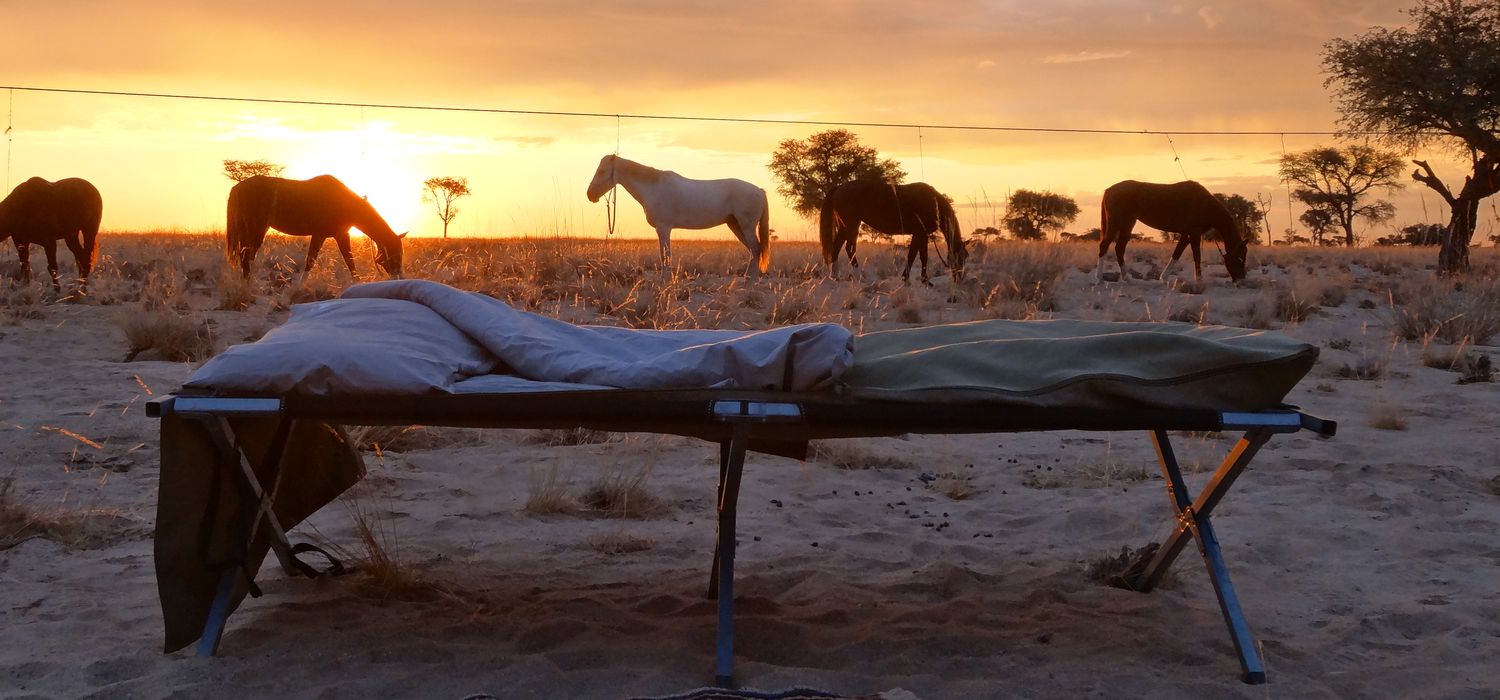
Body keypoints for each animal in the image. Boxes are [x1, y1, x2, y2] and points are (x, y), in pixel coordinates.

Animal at [226, 174, 405, 278]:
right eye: (394, 255)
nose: (398, 276)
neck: (344, 203)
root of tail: (236, 189)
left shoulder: (341, 235)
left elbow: (350, 263)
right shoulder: (320, 235)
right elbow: (310, 263)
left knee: (245, 257)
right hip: (254, 229)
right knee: (246, 257)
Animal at [585, 155, 774, 275]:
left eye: (602, 171)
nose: (590, 195)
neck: (653, 187)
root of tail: (759, 191)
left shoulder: (663, 228)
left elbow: (665, 256)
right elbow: (665, 256)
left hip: (746, 227)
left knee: (756, 250)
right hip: (735, 225)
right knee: (754, 252)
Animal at [822, 180, 972, 284]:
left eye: (966, 256)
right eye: (958, 256)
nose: (960, 278)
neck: (933, 203)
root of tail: (839, 187)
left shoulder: (920, 235)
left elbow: (918, 255)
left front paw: (917, 280)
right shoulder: (920, 233)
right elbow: (917, 256)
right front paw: (915, 280)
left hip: (846, 226)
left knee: (839, 248)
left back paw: (837, 276)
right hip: (851, 225)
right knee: (848, 248)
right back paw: (856, 276)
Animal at [1098, 180, 1248, 284]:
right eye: (1240, 257)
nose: (1241, 280)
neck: (1205, 205)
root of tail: (1109, 190)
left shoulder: (1187, 235)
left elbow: (1177, 253)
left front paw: (1163, 277)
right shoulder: (1194, 233)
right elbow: (1197, 256)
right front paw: (1199, 280)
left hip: (1128, 224)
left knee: (1119, 248)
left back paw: (1126, 278)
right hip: (1115, 223)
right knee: (1104, 246)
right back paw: (1099, 279)